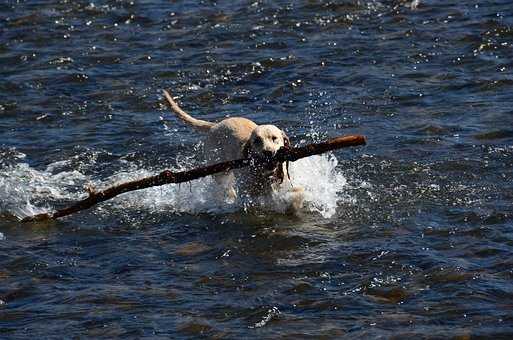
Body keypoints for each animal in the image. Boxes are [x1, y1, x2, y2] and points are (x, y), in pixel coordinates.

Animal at [162, 90, 302, 212]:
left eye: (274, 138)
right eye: (257, 141)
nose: (268, 152)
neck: (262, 173)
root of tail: (214, 126)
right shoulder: (249, 193)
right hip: (219, 170)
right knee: (227, 188)